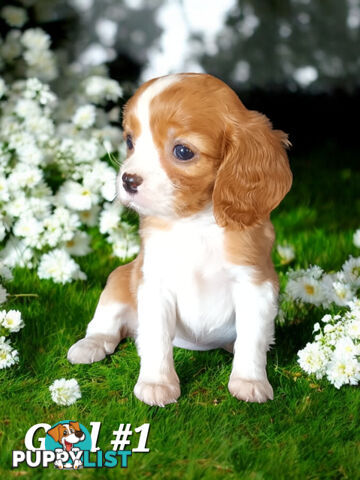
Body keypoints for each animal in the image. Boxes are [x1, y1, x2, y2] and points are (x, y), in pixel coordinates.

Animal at [67, 73, 292, 406]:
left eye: (183, 151)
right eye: (130, 141)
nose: (128, 180)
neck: (195, 223)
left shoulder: (255, 284)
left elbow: (251, 338)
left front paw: (249, 381)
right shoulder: (154, 284)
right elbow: (157, 339)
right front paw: (157, 383)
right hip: (119, 280)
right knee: (106, 324)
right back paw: (90, 344)